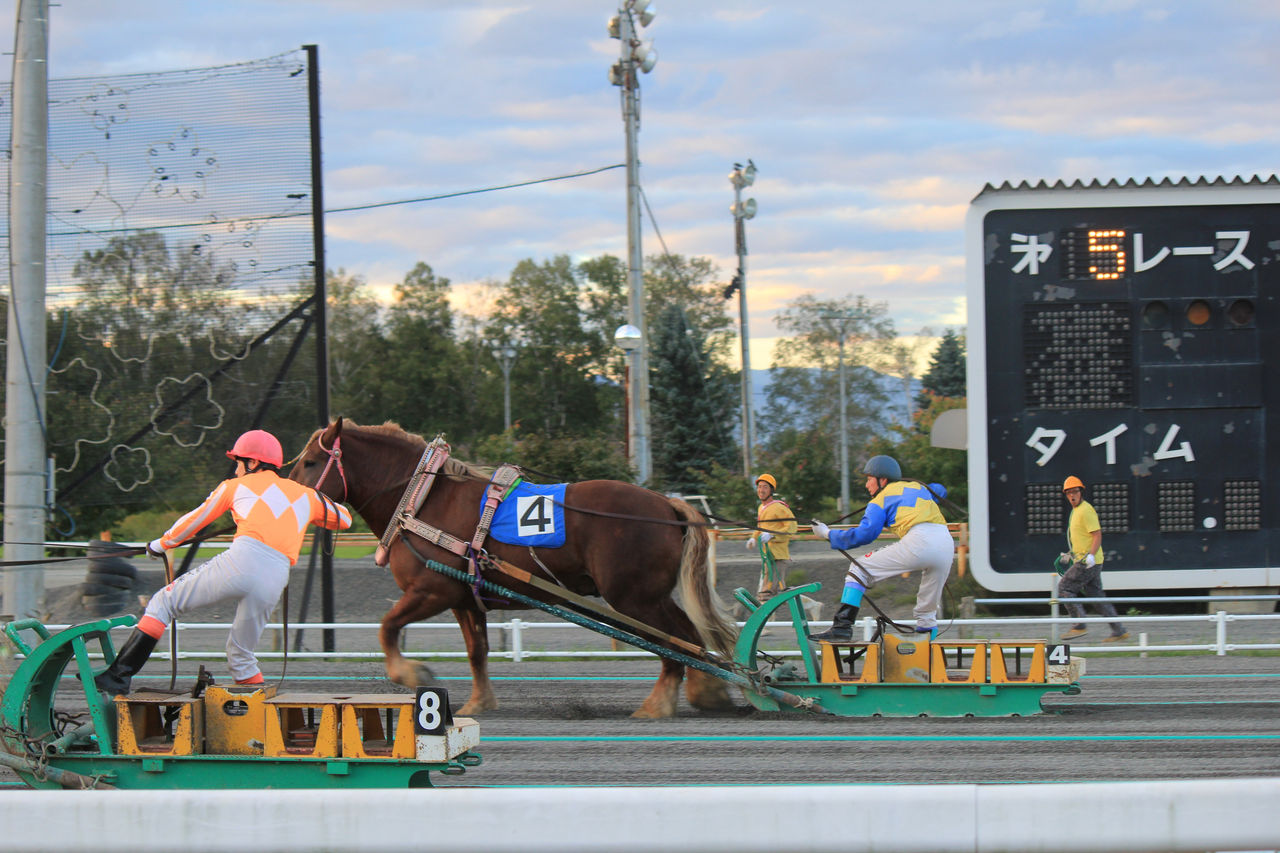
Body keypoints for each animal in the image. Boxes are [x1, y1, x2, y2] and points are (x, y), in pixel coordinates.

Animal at [289, 418, 740, 718]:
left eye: (310, 462)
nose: (288, 493)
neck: (422, 498)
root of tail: (666, 505)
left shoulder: (430, 591)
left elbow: (387, 628)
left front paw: (413, 674)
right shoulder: (463, 598)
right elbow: (477, 651)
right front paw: (479, 702)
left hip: (634, 599)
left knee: (674, 643)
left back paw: (659, 705)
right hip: (649, 597)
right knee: (689, 637)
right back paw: (710, 693)